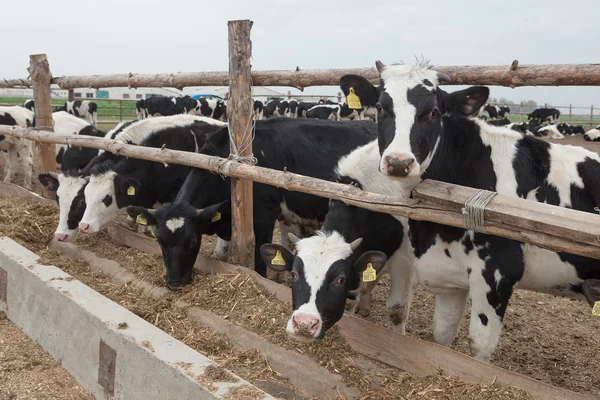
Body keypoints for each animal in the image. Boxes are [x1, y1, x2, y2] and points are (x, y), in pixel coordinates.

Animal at [340, 60, 600, 362]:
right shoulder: (450, 277)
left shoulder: (497, 275)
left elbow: (479, 346)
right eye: (381, 108)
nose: (399, 162)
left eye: (433, 111)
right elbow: (442, 336)